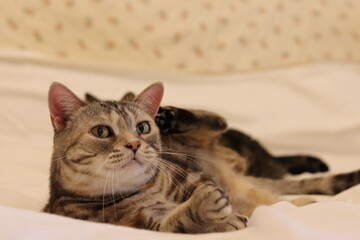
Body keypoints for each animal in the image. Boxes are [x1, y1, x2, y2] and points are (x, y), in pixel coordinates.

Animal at [44, 82, 360, 232]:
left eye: (143, 128)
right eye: (101, 132)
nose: (134, 144)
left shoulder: (187, 173)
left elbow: (199, 184)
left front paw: (221, 208)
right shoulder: (150, 224)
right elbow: (181, 220)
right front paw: (214, 213)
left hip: (206, 140)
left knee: (218, 120)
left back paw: (172, 115)